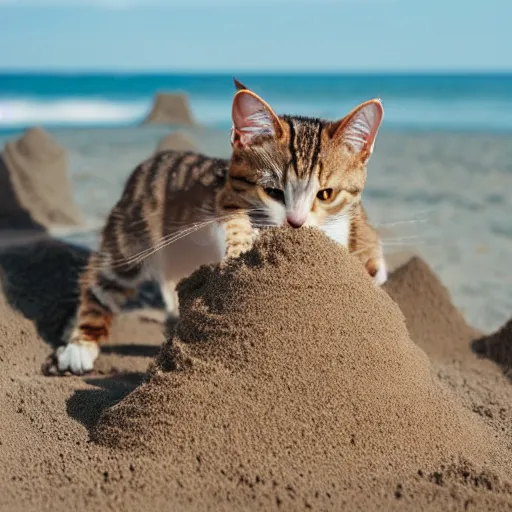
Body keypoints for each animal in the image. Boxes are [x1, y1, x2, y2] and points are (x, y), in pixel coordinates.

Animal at [55, 78, 384, 374]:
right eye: (273, 191)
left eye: (326, 194)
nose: (296, 223)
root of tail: (154, 159)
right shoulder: (223, 202)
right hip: (130, 236)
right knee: (102, 283)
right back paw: (79, 347)